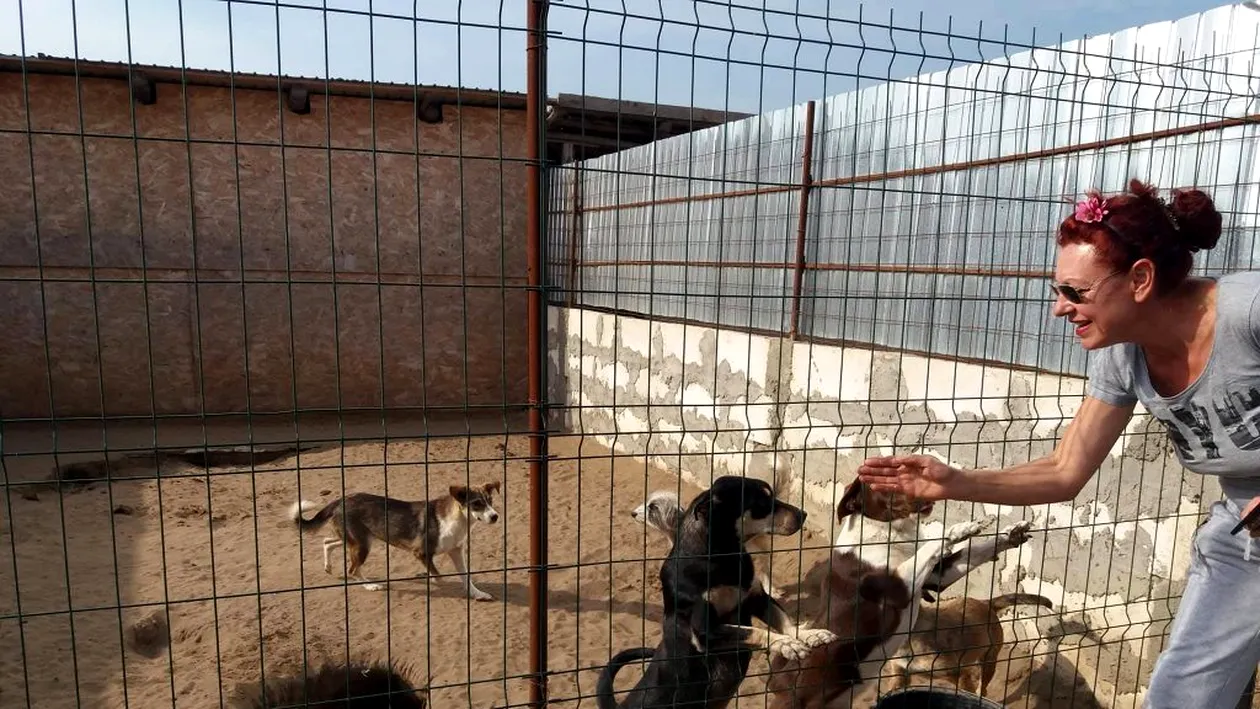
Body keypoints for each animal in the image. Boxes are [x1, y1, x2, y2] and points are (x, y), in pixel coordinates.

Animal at [288, 481, 498, 601]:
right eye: (477, 504)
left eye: (490, 501)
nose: (495, 516)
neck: (458, 519)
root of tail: (340, 500)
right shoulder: (421, 553)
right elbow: (439, 576)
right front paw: (433, 581)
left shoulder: (456, 551)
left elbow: (466, 576)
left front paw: (478, 594)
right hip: (362, 545)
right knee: (352, 569)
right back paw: (370, 586)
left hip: (357, 540)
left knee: (327, 542)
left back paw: (328, 566)